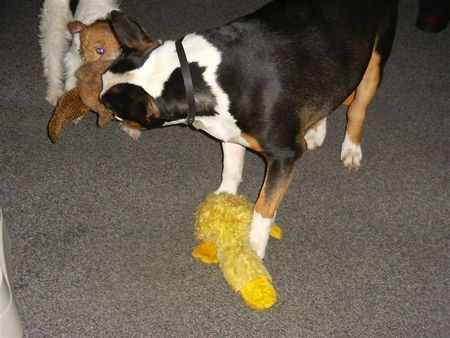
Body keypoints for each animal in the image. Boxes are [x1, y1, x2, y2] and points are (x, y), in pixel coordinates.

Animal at [99, 0, 398, 258]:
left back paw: (351, 149)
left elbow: (264, 205)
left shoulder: (284, 155)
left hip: (374, 59)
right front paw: (221, 200)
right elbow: (231, 171)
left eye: (116, 112)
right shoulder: (229, 131)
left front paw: (254, 245)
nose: (101, 111)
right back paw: (316, 131)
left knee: (356, 107)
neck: (193, 77)